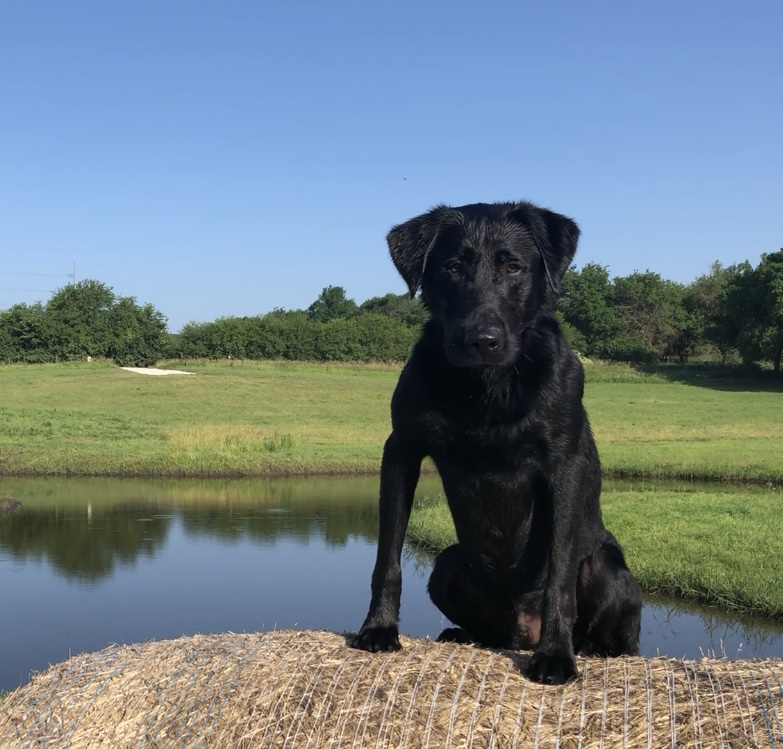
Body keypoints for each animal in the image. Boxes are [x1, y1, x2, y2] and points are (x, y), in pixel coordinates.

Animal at [350, 200, 644, 684]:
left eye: (513, 266)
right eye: (452, 267)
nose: (482, 340)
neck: (486, 388)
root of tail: (525, 628)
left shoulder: (563, 467)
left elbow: (560, 576)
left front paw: (556, 656)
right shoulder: (401, 451)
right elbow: (387, 556)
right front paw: (378, 628)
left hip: (609, 568)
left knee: (618, 635)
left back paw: (588, 648)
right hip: (446, 566)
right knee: (492, 631)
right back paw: (463, 635)